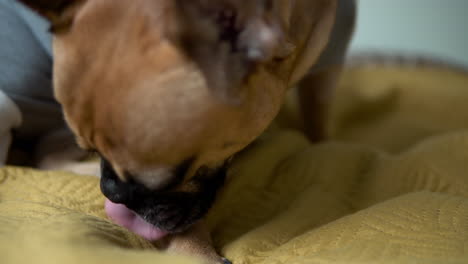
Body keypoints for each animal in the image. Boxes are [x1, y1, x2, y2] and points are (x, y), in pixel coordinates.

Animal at [17, 0, 354, 264]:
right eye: (92, 150)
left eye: (172, 176)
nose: (110, 191)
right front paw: (196, 251)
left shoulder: (328, 58)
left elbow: (318, 115)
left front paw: (321, 142)